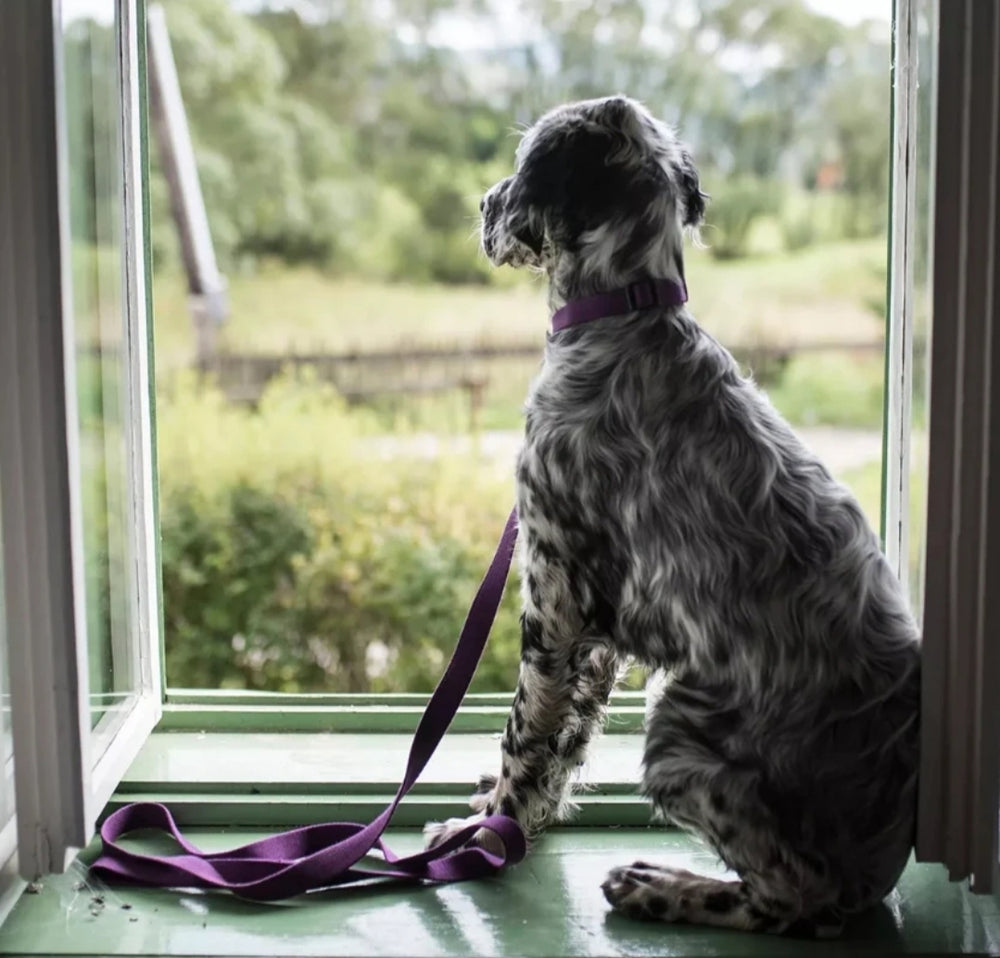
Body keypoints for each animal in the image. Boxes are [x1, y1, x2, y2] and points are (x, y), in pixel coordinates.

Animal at [426, 95, 916, 936]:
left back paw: (662, 887)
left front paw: (489, 831)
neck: (626, 313)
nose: (483, 204)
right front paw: (517, 820)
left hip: (679, 736)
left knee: (794, 896)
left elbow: (526, 730)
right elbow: (565, 740)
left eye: (519, 168)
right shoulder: (598, 632)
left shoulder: (553, 597)